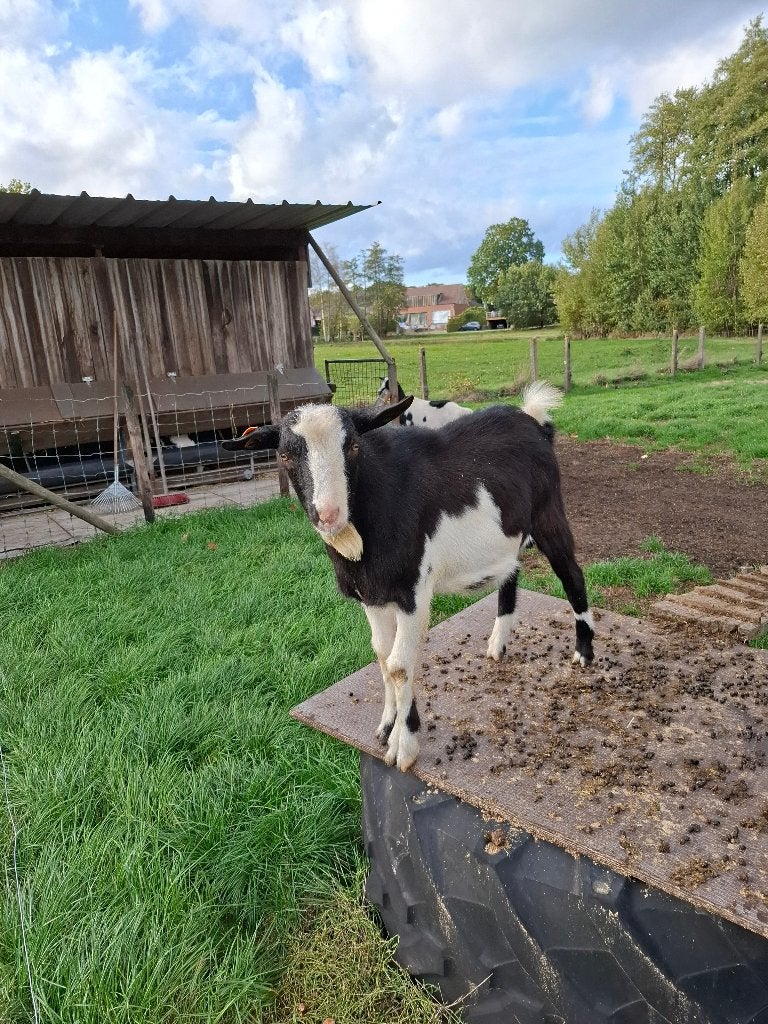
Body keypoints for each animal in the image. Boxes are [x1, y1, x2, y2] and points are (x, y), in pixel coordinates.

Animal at [222, 381, 594, 772]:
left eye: (353, 446)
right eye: (284, 455)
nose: (329, 514)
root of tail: (535, 422)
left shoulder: (412, 591)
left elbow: (401, 665)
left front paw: (405, 745)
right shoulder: (371, 595)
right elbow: (383, 655)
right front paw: (388, 725)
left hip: (550, 515)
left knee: (573, 575)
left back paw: (583, 652)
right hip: (509, 538)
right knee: (511, 574)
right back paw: (497, 645)